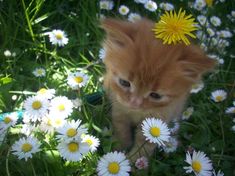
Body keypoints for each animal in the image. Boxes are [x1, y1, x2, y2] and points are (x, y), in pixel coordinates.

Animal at [100, 18, 215, 162]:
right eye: (124, 82)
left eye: (155, 95)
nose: (134, 103)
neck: (135, 113)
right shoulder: (118, 108)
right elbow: (121, 129)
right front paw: (118, 149)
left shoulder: (160, 118)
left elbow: (145, 145)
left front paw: (133, 162)